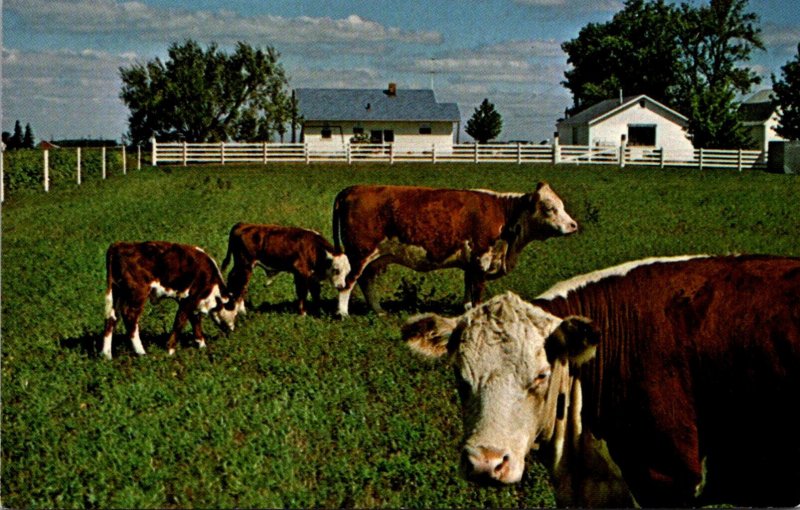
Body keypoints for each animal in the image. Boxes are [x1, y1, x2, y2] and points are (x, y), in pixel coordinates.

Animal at [101, 242, 238, 358]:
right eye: (235, 313)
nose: (232, 330)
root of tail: (119, 245)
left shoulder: (190, 301)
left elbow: (195, 320)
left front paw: (202, 345)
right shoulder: (190, 298)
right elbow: (180, 322)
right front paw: (170, 350)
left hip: (116, 292)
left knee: (111, 318)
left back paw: (106, 355)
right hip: (138, 293)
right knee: (130, 316)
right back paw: (141, 352)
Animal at [222, 222, 354, 314]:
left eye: (347, 272)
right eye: (336, 270)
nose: (341, 286)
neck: (313, 248)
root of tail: (243, 224)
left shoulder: (312, 276)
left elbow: (315, 293)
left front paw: (318, 311)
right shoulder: (301, 272)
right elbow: (302, 293)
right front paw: (302, 313)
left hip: (240, 266)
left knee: (233, 280)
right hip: (245, 266)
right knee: (241, 285)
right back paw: (241, 311)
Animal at [334, 183, 580, 316]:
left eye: (562, 205)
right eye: (549, 207)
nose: (573, 225)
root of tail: (353, 189)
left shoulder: (471, 262)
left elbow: (468, 288)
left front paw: (467, 309)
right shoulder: (482, 258)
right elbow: (477, 290)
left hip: (374, 258)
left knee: (366, 282)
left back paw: (378, 310)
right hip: (359, 254)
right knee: (349, 282)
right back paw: (343, 312)